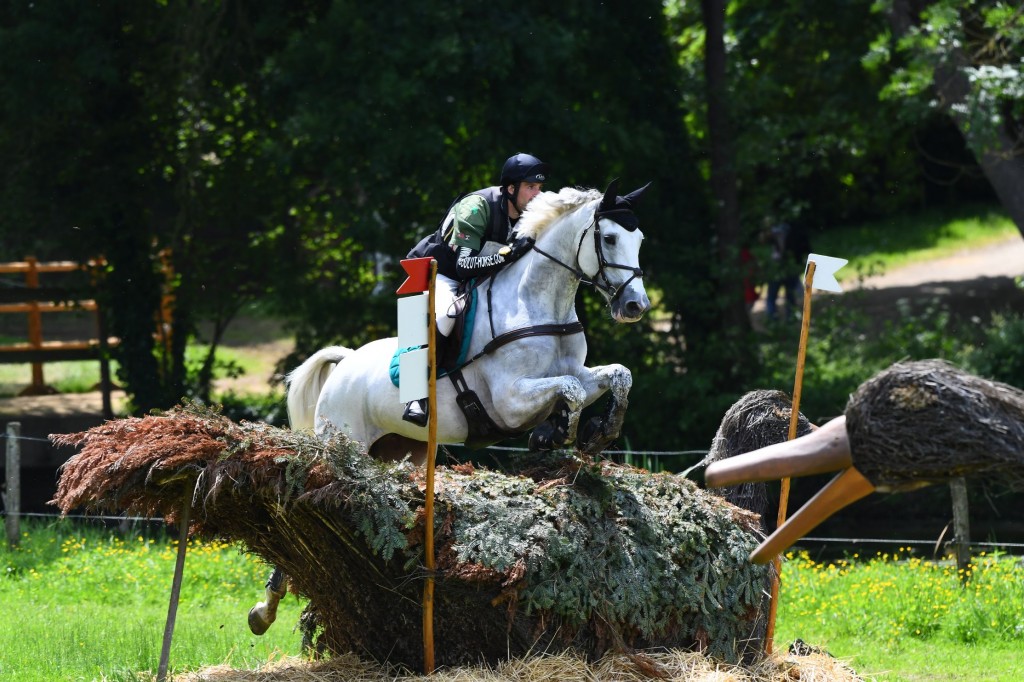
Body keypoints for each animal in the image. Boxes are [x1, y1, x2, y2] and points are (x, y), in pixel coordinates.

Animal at [246, 180, 647, 630]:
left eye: (638, 240)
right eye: (609, 238)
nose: (635, 306)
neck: (538, 303)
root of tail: (346, 362)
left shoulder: (574, 372)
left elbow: (617, 376)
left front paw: (598, 431)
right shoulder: (510, 400)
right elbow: (571, 391)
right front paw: (556, 432)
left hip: (402, 452)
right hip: (343, 444)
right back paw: (264, 610)